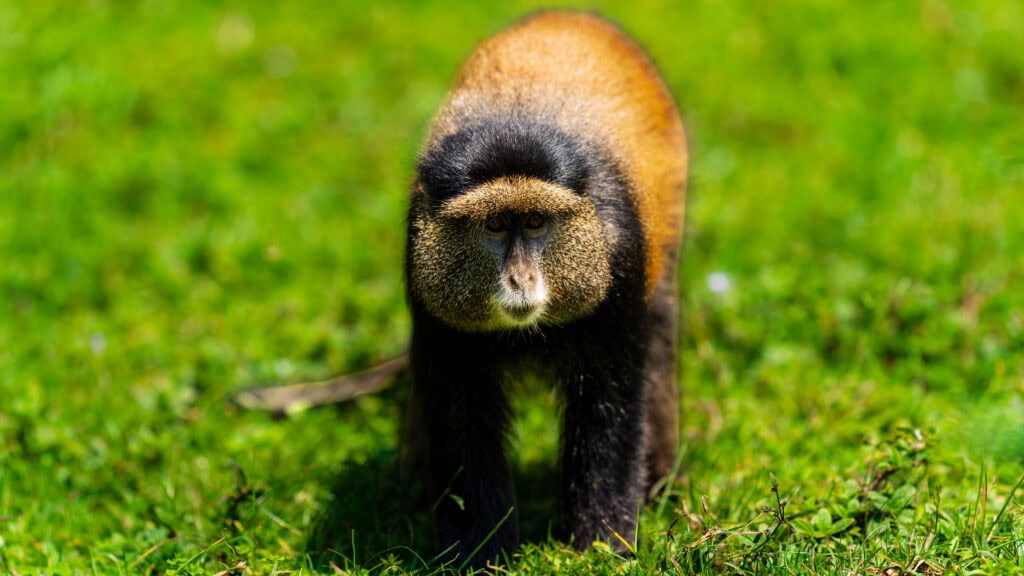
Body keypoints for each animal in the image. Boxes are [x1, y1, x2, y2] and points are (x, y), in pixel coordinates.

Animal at [402, 10, 688, 570]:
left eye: (535, 222)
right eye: (494, 226)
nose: (520, 279)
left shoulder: (619, 269)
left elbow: (608, 414)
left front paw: (600, 546)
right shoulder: (428, 291)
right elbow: (462, 423)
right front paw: (478, 553)